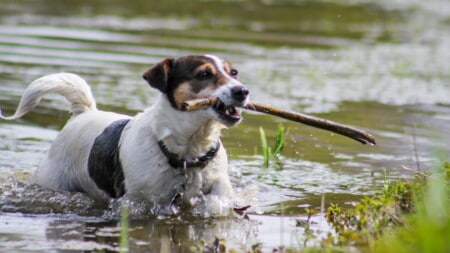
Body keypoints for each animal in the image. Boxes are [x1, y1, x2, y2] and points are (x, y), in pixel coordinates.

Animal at [0, 55, 250, 213]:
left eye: (234, 73)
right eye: (203, 74)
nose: (243, 91)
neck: (188, 153)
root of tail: (85, 112)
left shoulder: (217, 182)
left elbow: (218, 199)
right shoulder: (136, 200)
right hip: (52, 182)